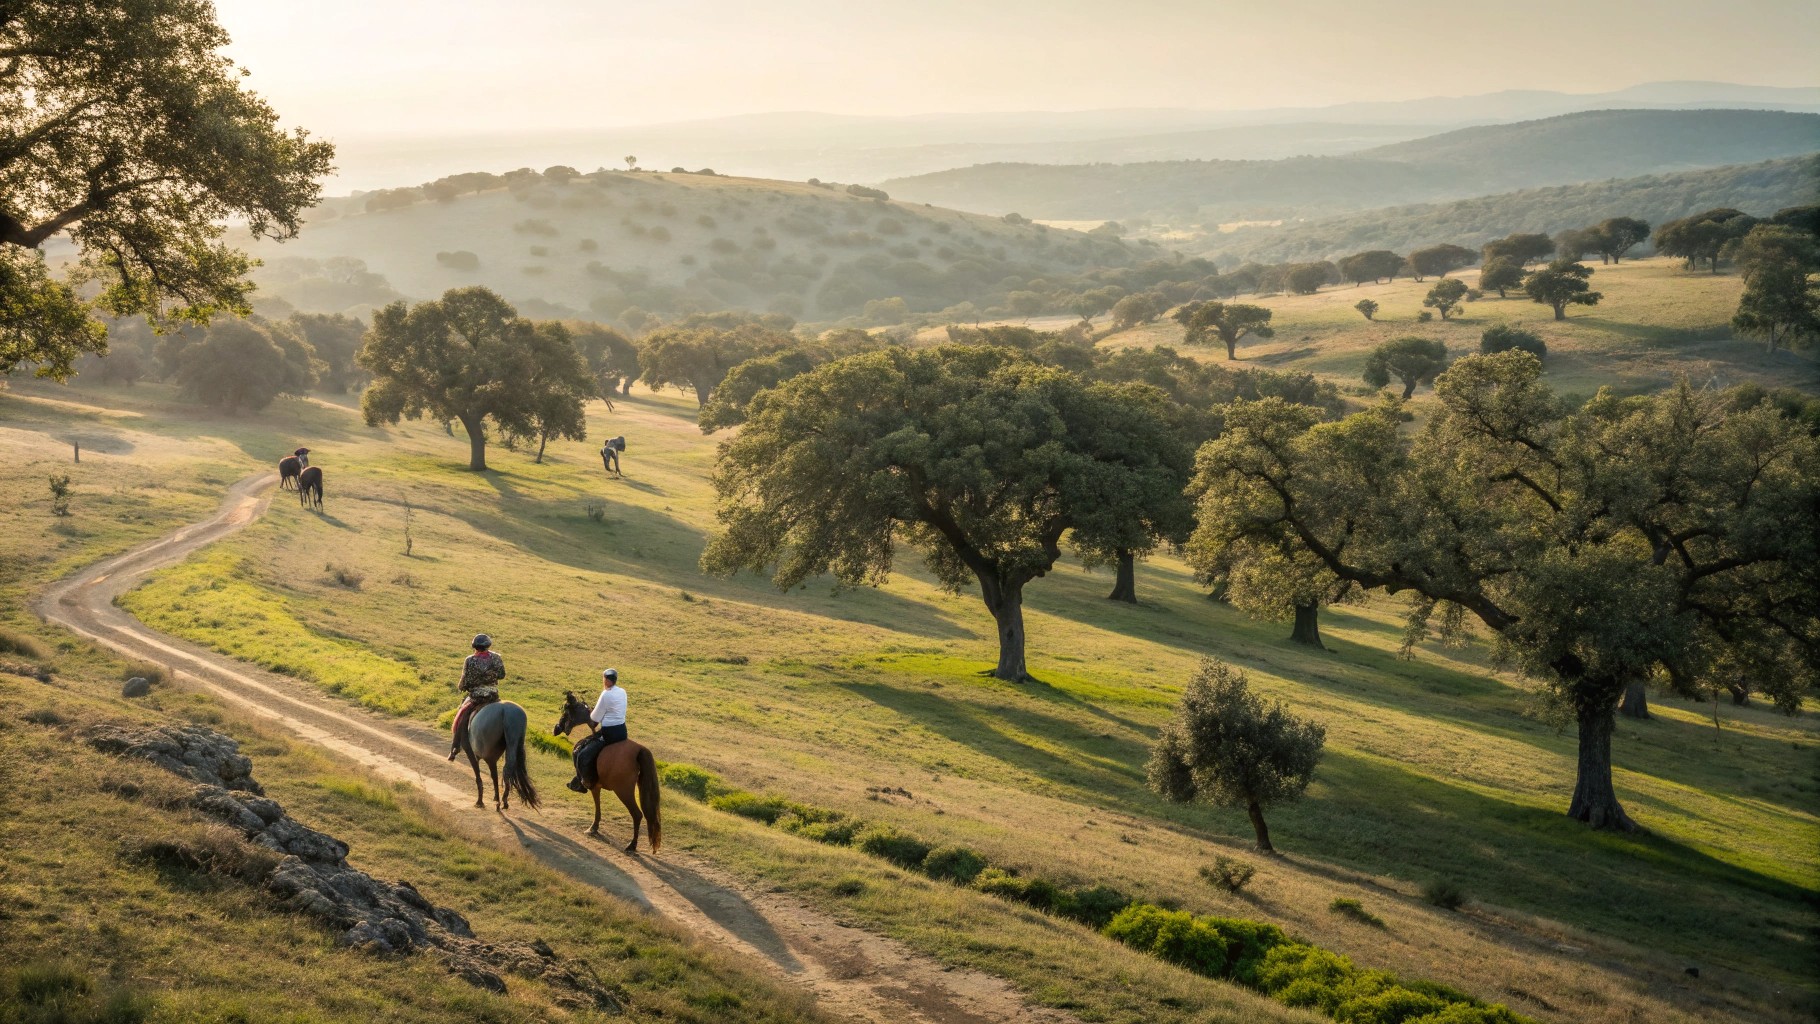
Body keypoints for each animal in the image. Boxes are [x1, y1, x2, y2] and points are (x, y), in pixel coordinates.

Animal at [554, 691, 661, 852]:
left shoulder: (594, 785)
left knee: (637, 814)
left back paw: (632, 845)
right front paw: (594, 827)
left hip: (623, 790)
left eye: (566, 712)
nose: (557, 728)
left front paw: (593, 828)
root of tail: (639, 750)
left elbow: (597, 805)